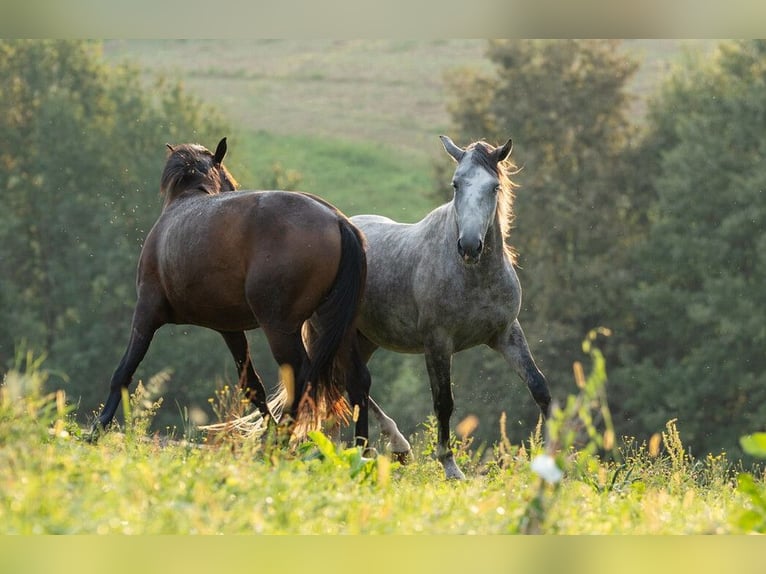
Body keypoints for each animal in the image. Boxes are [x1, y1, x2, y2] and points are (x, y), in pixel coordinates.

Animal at [94, 138, 370, 440]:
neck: (186, 199)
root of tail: (337, 220)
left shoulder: (146, 312)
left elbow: (124, 371)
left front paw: (99, 426)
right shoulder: (230, 329)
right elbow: (252, 386)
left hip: (281, 328)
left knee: (302, 377)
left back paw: (278, 441)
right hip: (337, 327)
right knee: (358, 381)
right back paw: (360, 446)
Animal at [354, 136, 552, 482]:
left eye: (494, 187)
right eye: (456, 184)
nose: (470, 246)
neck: (475, 276)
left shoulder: (507, 334)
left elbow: (539, 387)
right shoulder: (437, 342)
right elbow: (443, 402)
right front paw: (450, 466)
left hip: (366, 340)